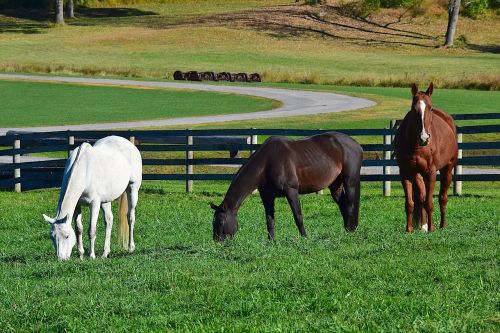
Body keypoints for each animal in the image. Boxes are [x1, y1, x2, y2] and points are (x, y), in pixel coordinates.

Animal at [209, 131, 362, 240]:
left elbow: (298, 217)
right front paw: (271, 242)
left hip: (350, 181)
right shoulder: (267, 196)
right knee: (342, 205)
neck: (267, 163)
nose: (217, 241)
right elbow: (269, 220)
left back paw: (351, 231)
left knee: (350, 205)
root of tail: (356, 145)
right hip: (335, 185)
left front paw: (304, 238)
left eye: (221, 222)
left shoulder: (291, 191)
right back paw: (348, 230)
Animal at [394, 83, 458, 232]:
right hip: (418, 174)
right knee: (421, 197)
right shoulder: (406, 173)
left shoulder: (431, 172)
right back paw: (424, 226)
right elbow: (410, 203)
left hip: (447, 169)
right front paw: (409, 230)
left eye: (430, 107)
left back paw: (442, 225)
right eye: (413, 108)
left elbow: (429, 202)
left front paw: (431, 229)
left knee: (442, 198)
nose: (424, 137)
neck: (417, 146)